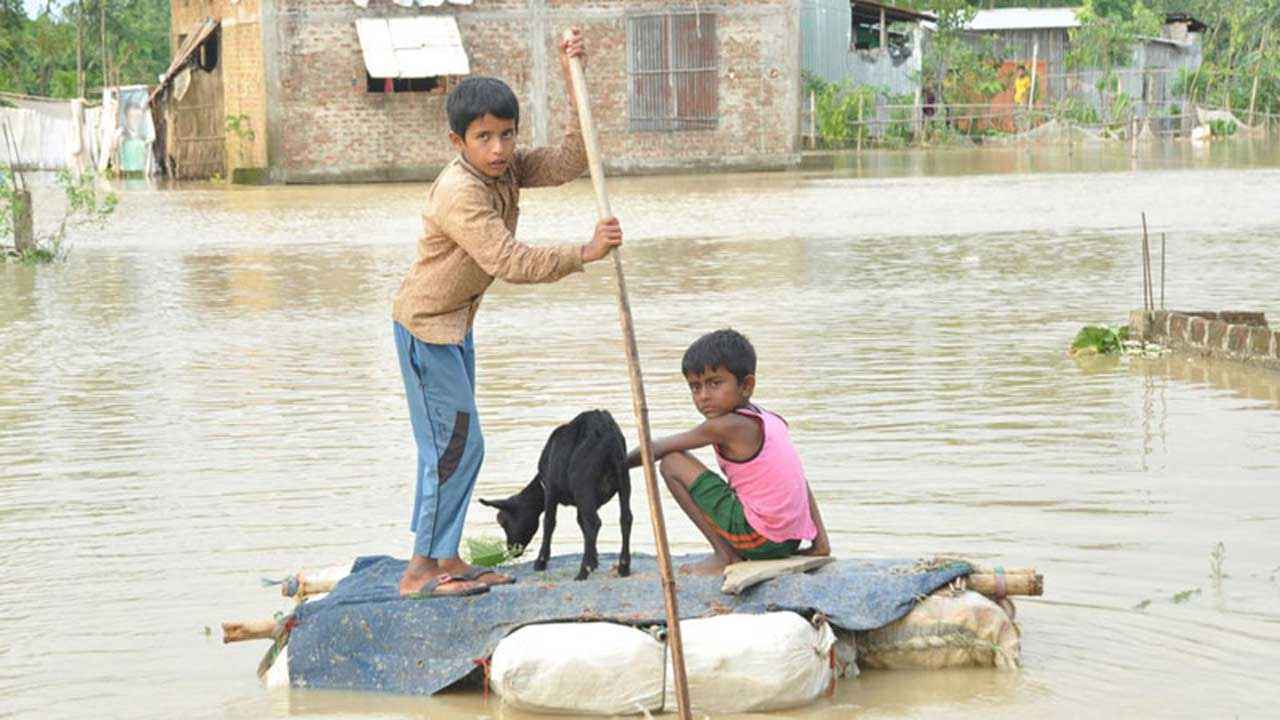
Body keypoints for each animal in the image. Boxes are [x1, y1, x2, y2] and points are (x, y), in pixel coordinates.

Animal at [478, 409, 632, 576]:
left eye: (502, 520)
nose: (512, 550)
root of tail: (606, 433)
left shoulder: (551, 490)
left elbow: (549, 522)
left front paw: (541, 561)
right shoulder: (582, 503)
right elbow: (581, 523)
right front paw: (594, 560)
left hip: (583, 485)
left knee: (594, 523)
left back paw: (583, 571)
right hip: (622, 479)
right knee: (625, 519)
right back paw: (623, 567)